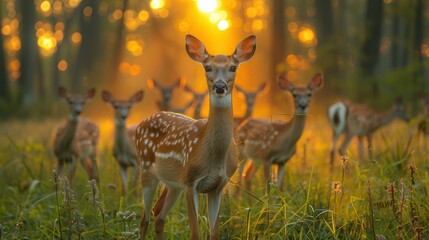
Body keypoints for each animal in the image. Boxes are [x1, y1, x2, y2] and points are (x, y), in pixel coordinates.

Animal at [135, 34, 256, 239]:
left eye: (233, 67)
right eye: (207, 67)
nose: (220, 86)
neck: (215, 157)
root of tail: (140, 124)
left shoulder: (218, 186)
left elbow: (214, 233)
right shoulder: (191, 182)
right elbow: (195, 233)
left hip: (173, 183)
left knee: (158, 214)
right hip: (146, 168)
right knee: (144, 219)